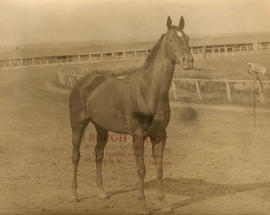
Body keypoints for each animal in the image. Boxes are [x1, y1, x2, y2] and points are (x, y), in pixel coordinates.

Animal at [68, 16, 193, 213]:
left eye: (187, 38)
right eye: (171, 39)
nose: (189, 61)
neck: (148, 90)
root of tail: (83, 82)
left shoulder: (160, 135)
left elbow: (159, 169)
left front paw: (164, 204)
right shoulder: (138, 135)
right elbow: (141, 169)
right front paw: (143, 206)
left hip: (101, 127)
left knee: (98, 153)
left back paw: (101, 192)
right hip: (77, 125)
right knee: (75, 156)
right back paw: (74, 195)